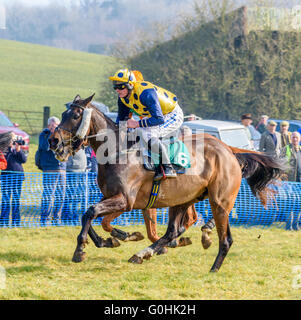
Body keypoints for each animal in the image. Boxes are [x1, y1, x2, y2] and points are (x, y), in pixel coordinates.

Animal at [48, 95, 284, 272]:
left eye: (76, 115)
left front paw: (80, 250)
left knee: (225, 239)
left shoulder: (125, 200)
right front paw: (110, 240)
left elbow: (91, 213)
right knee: (172, 231)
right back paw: (144, 253)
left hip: (220, 202)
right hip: (182, 199)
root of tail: (229, 150)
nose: (53, 141)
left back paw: (212, 267)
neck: (117, 151)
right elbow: (91, 216)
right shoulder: (112, 197)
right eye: (63, 114)